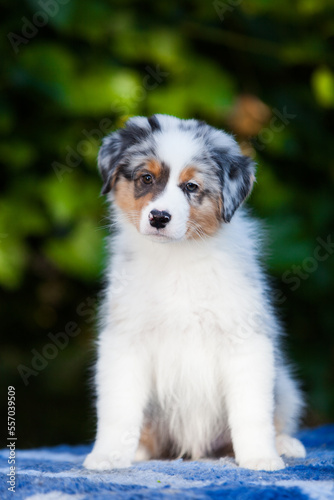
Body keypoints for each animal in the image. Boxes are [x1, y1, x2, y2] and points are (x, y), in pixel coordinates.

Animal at [83, 115, 306, 470]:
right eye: (146, 178)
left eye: (191, 186)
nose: (159, 218)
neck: (178, 258)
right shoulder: (125, 338)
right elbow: (118, 408)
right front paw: (108, 456)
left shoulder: (245, 339)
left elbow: (252, 410)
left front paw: (260, 458)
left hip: (285, 385)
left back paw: (284, 444)